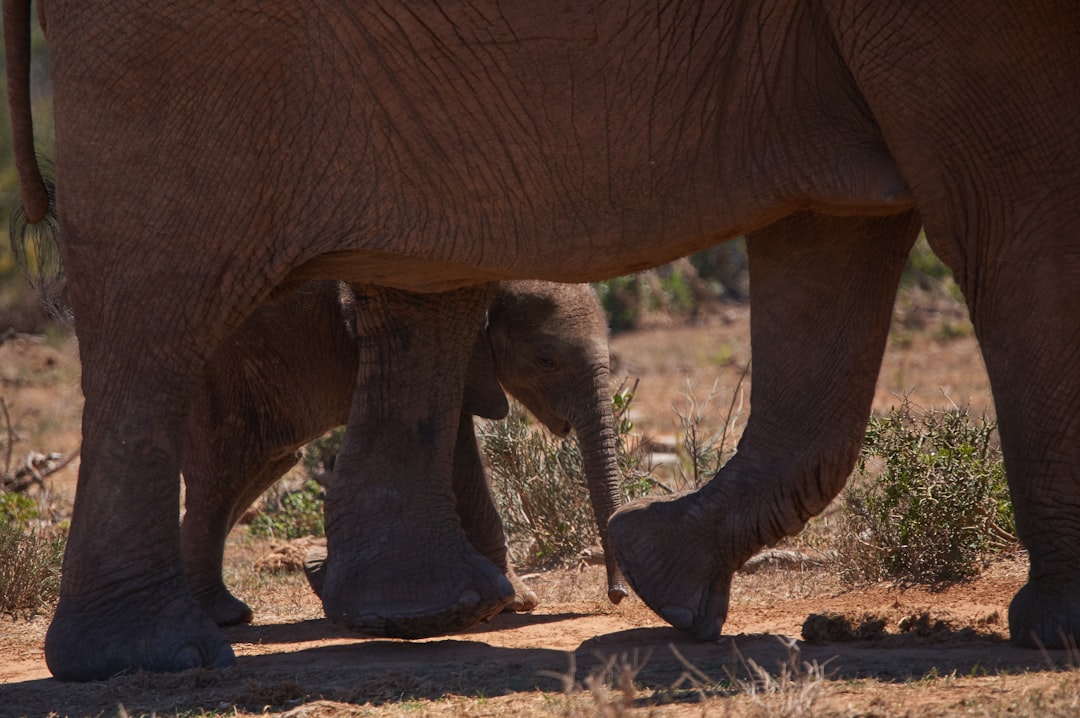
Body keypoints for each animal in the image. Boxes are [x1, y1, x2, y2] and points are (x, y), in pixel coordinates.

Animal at [181, 276, 630, 626]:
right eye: (546, 360)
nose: (618, 595)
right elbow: (458, 450)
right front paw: (518, 602)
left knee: (264, 465)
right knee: (227, 471)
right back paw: (223, 616)